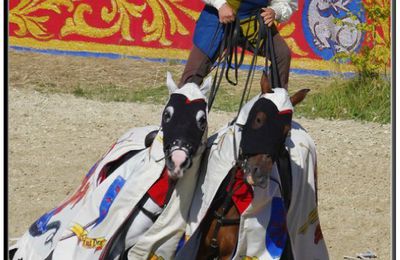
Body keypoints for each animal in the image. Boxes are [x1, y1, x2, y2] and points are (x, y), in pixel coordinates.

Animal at [175, 85, 328, 258]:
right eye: (258, 119)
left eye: (285, 131)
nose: (258, 174)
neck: (228, 203)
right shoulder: (203, 250)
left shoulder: (228, 254)